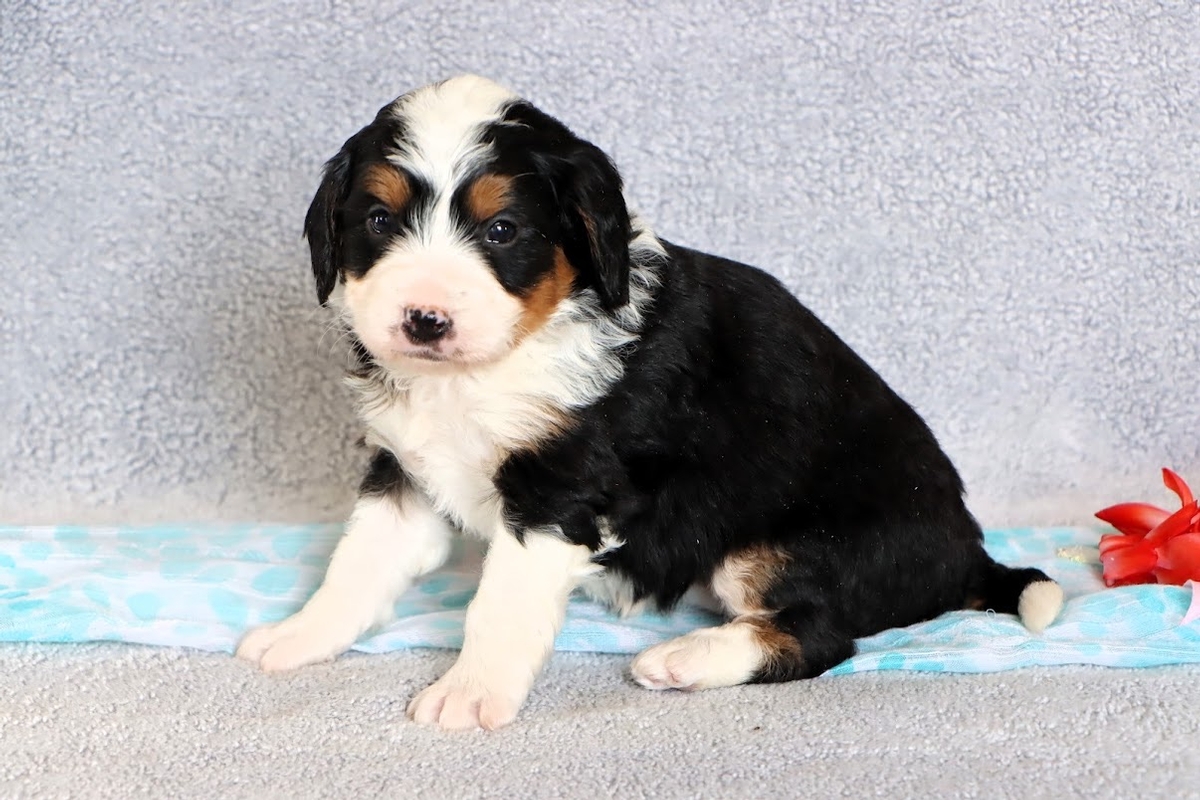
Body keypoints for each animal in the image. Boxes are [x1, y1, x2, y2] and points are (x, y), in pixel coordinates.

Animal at [237, 75, 1063, 730]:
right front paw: (300, 635)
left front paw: (470, 693)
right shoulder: (408, 470)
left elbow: (500, 606)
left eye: (503, 230)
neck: (487, 370)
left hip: (785, 546)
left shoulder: (559, 492)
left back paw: (685, 660)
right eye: (378, 220)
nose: (424, 320)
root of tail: (966, 549)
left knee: (822, 634)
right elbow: (358, 564)